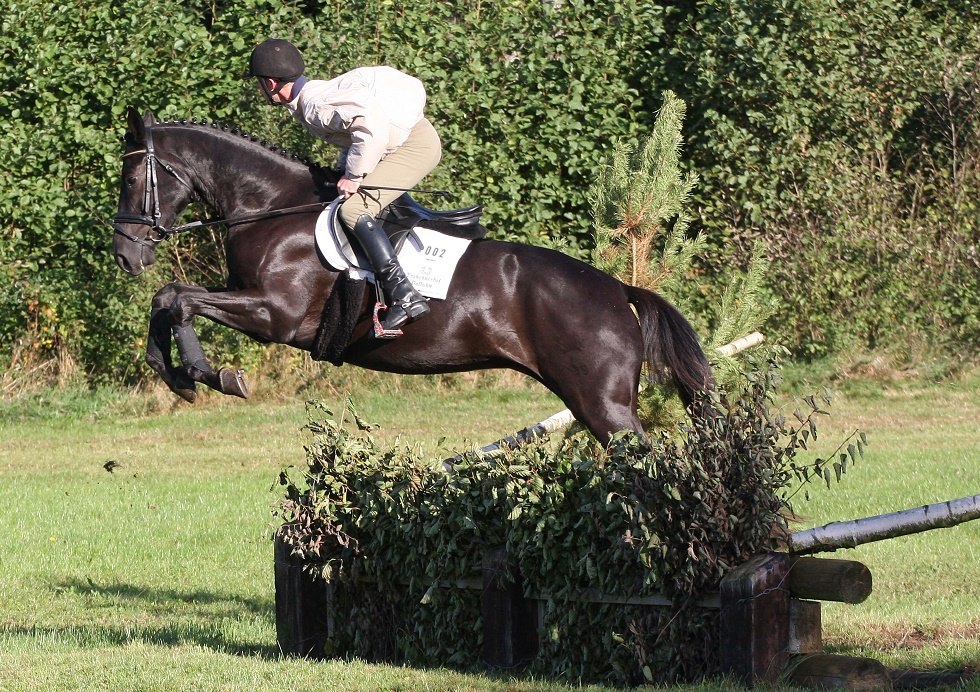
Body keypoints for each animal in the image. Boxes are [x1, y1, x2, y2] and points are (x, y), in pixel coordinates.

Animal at [111, 107, 712, 444]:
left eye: (132, 178)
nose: (124, 255)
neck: (272, 208)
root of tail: (617, 289)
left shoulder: (274, 314)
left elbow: (180, 298)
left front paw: (210, 374)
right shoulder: (250, 299)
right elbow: (168, 297)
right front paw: (177, 376)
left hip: (602, 404)